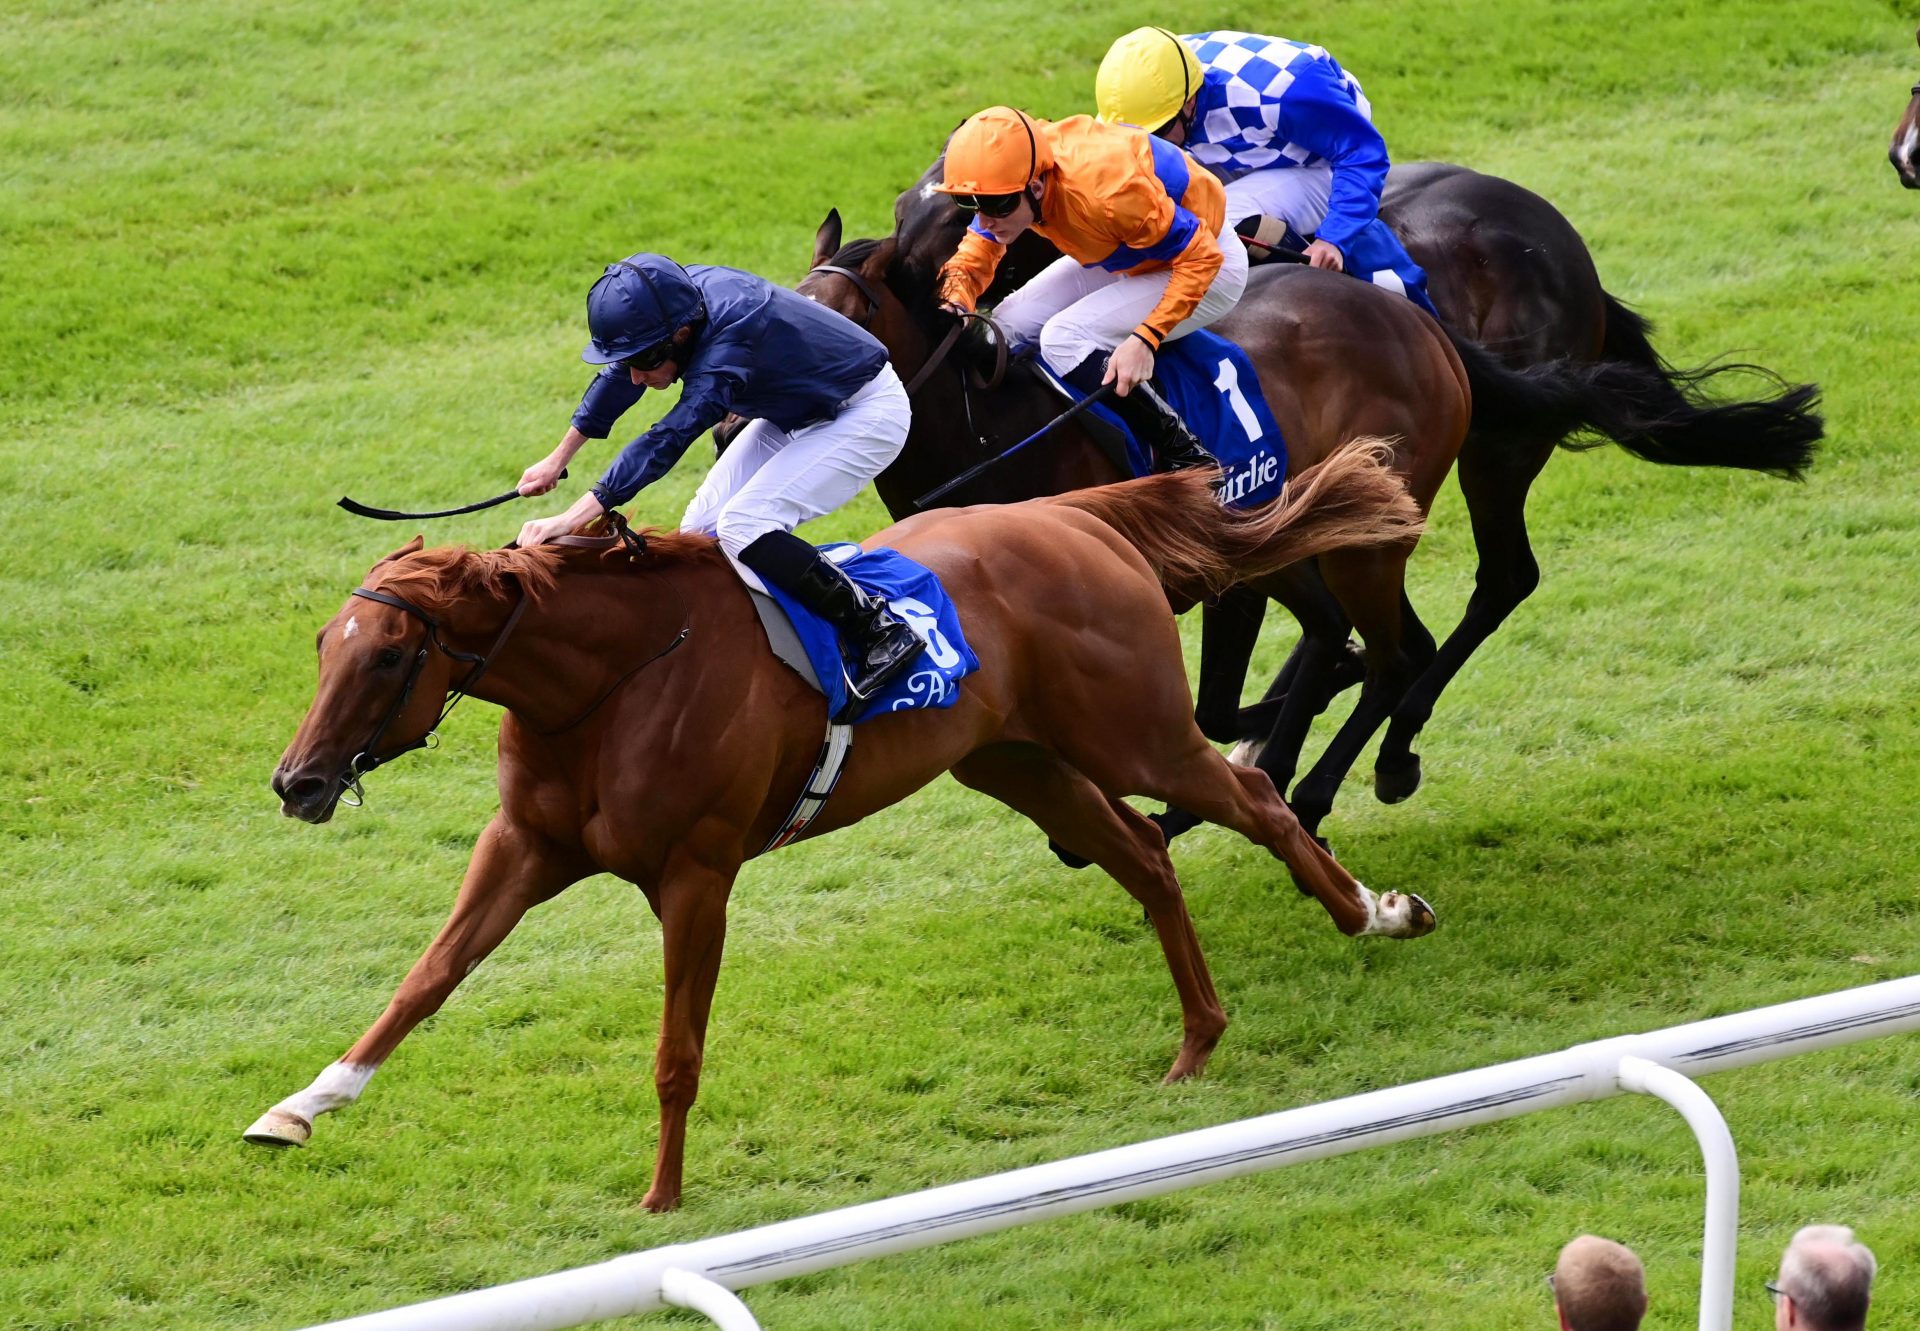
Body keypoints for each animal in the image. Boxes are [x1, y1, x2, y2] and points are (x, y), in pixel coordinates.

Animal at [251, 445, 1428, 1206]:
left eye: (388, 655)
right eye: (322, 644)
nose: (296, 781)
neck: (611, 681)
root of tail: (1071, 514)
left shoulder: (697, 871)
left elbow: (677, 1047)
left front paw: (662, 1198)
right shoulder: (527, 847)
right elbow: (427, 978)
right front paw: (302, 1104)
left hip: (1133, 730)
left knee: (1254, 802)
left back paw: (1376, 912)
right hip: (1015, 759)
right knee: (1141, 853)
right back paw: (1197, 1039)